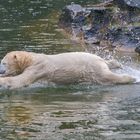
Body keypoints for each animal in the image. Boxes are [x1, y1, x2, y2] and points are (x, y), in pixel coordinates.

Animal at [0, 50, 136, 89]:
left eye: (4, 63)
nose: (1, 71)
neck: (31, 59)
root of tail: (100, 59)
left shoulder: (38, 67)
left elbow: (20, 81)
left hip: (92, 68)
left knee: (106, 77)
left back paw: (131, 78)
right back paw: (117, 64)